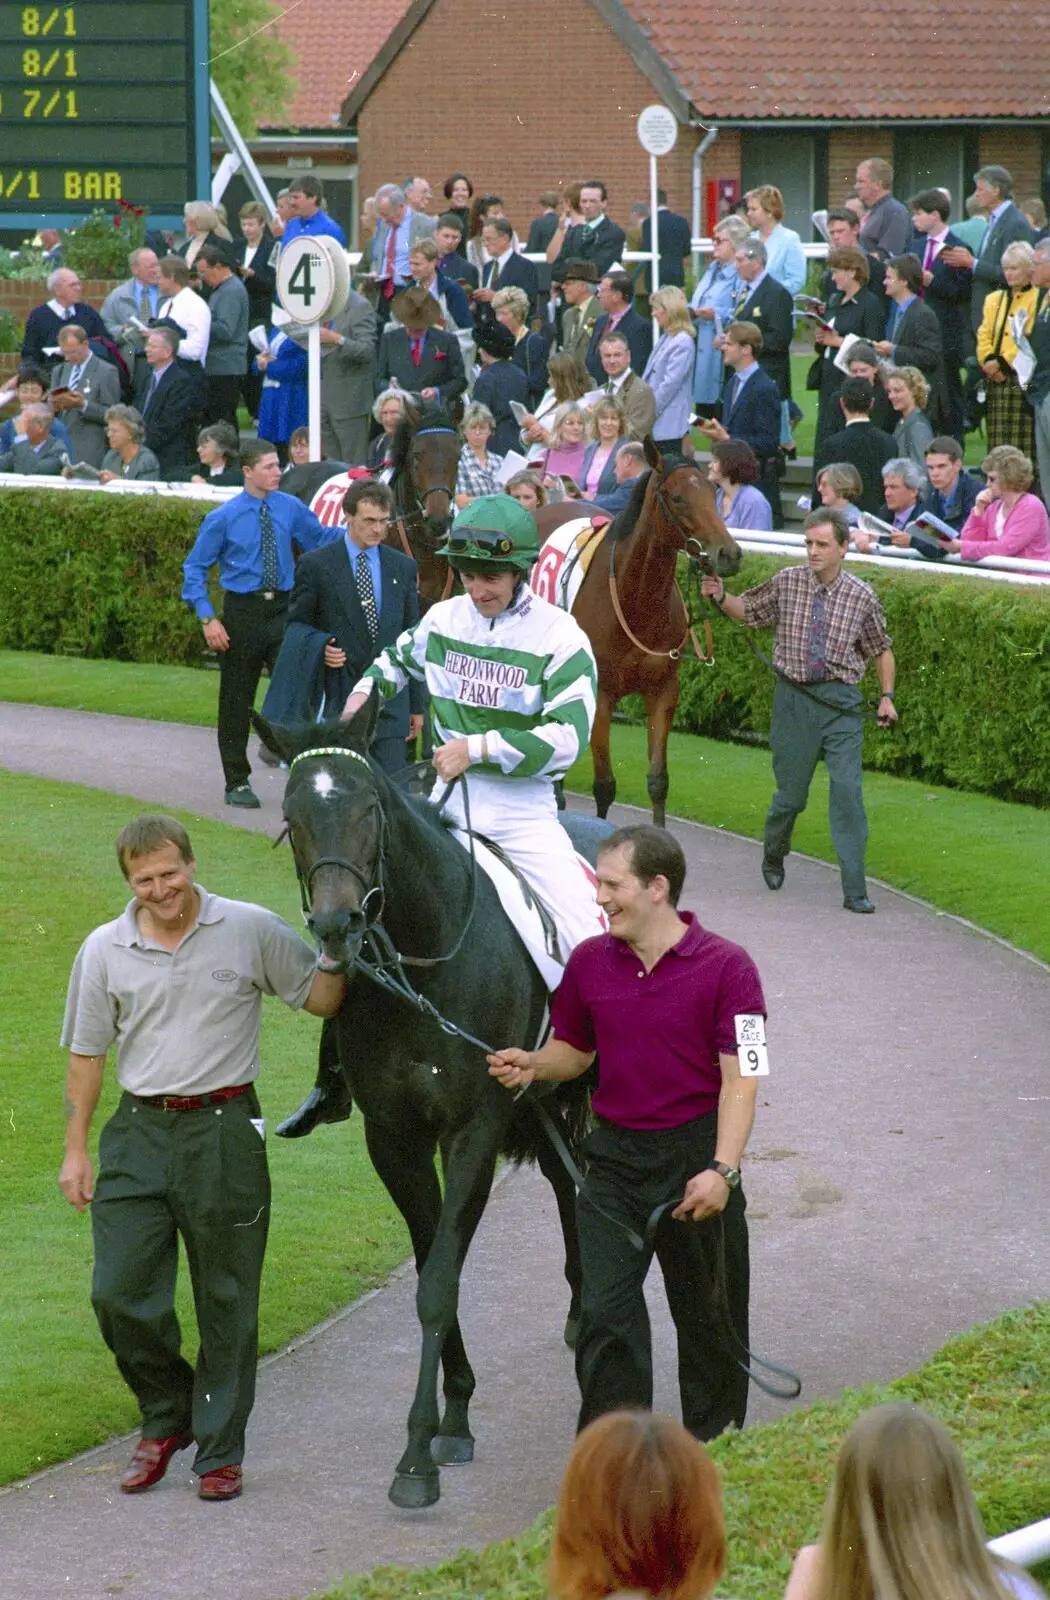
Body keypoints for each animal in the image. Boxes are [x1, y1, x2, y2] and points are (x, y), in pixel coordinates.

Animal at [256, 707, 589, 1504]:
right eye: (292, 817)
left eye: (369, 809)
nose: (338, 926)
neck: (427, 963)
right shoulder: (395, 1135)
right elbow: (432, 1262)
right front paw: (454, 1413)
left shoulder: (474, 1128)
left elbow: (439, 1280)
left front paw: (416, 1456)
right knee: (565, 1183)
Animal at [534, 444, 745, 832]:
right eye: (677, 498)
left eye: (713, 492)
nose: (729, 554)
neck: (636, 599)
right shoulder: (601, 695)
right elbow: (604, 785)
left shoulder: (663, 691)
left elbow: (658, 780)